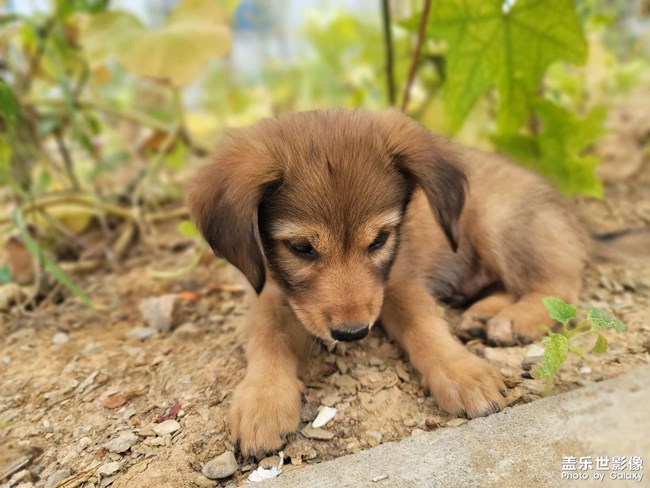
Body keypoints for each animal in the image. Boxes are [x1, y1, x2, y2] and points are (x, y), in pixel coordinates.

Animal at [187, 109, 588, 458]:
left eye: (380, 239)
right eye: (300, 248)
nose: (352, 333)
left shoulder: (400, 279)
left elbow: (424, 325)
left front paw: (461, 370)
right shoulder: (269, 292)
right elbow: (267, 340)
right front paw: (263, 399)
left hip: (501, 221)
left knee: (559, 285)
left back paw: (516, 319)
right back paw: (483, 316)